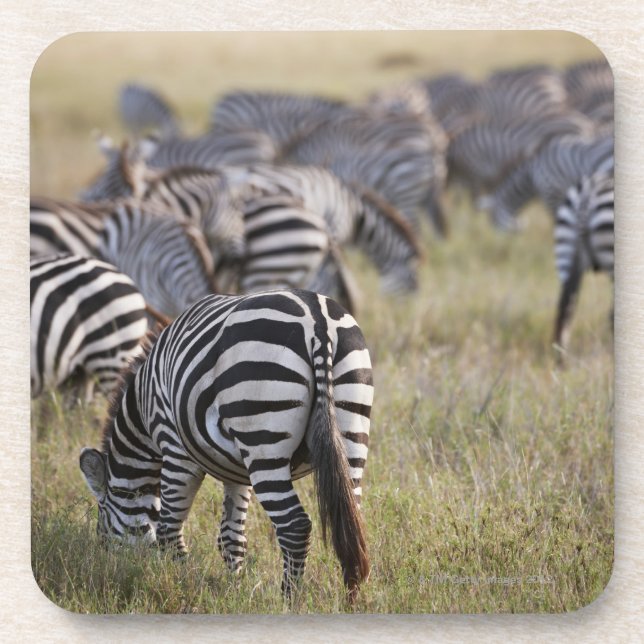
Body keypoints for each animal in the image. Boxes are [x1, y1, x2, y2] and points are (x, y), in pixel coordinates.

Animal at [79, 289, 373, 601]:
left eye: (103, 528)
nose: (112, 569)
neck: (142, 413)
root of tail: (318, 321)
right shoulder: (237, 471)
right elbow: (231, 536)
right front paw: (235, 589)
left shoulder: (175, 448)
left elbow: (169, 528)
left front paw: (180, 583)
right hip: (351, 429)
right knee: (351, 522)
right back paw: (352, 599)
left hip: (263, 438)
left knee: (295, 526)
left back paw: (288, 600)